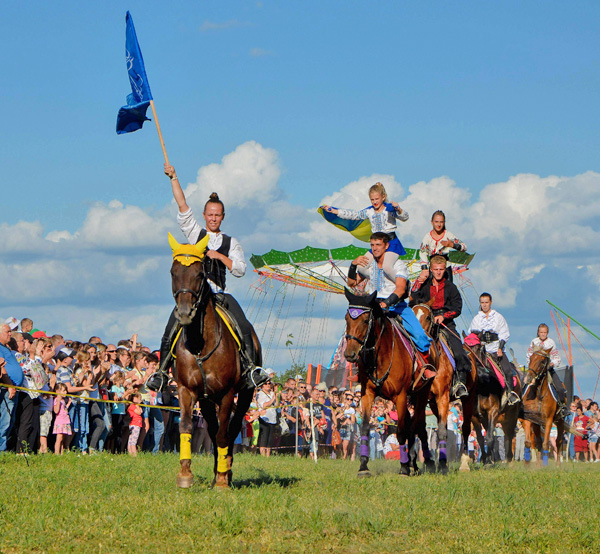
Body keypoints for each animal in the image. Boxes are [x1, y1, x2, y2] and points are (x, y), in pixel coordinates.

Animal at [169, 233, 262, 488]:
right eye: (173, 272)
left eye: (200, 274)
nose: (184, 313)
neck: (201, 344)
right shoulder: (186, 390)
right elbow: (186, 426)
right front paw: (185, 475)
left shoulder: (227, 393)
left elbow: (223, 434)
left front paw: (222, 480)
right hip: (206, 400)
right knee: (212, 428)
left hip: (245, 395)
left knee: (230, 429)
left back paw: (225, 471)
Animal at [342, 288, 432, 474]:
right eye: (347, 318)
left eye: (365, 320)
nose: (350, 354)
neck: (381, 356)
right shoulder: (367, 394)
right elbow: (365, 427)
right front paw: (363, 465)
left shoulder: (400, 396)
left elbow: (401, 431)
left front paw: (404, 467)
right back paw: (413, 463)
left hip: (421, 394)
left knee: (417, 425)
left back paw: (420, 462)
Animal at [410, 302, 476, 470]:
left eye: (428, 317)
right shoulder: (423, 400)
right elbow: (420, 428)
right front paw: (424, 462)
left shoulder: (443, 397)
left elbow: (441, 431)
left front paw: (441, 465)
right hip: (433, 404)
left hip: (468, 399)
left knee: (465, 428)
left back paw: (463, 463)